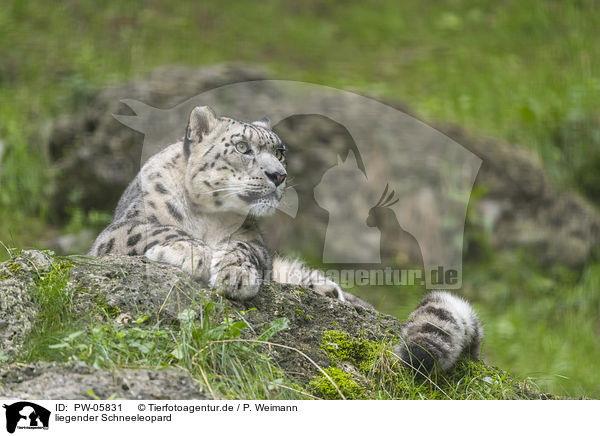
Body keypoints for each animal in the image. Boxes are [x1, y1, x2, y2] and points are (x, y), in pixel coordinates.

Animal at [89, 105, 482, 372]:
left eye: (279, 152)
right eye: (243, 148)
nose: (278, 175)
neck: (208, 219)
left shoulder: (255, 242)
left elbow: (244, 250)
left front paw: (236, 274)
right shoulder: (118, 230)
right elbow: (158, 228)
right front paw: (194, 252)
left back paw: (328, 292)